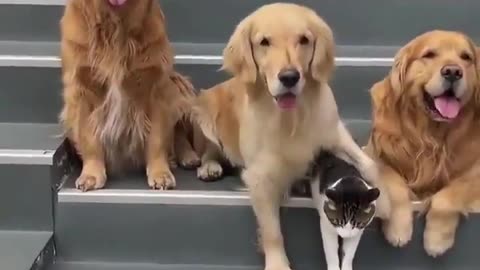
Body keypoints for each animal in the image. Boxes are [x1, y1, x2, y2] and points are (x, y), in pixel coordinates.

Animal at [60, 0, 199, 191]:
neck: (115, 24)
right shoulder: (81, 89)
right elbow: (89, 137)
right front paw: (91, 175)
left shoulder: (156, 87)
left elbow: (157, 138)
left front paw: (160, 174)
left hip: (178, 84)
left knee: (179, 132)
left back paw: (188, 157)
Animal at [191, 3, 390, 270]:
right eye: (264, 42)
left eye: (304, 40)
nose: (289, 77)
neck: (291, 119)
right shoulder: (259, 177)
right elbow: (272, 230)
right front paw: (278, 263)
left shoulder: (333, 133)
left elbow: (370, 165)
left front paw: (387, 207)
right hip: (207, 110)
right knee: (211, 148)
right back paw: (209, 167)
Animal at [364, 30, 480, 258]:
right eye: (429, 55)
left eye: (466, 57)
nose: (453, 72)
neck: (431, 136)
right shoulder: (373, 155)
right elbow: (393, 182)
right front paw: (398, 229)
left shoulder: (475, 173)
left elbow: (448, 195)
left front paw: (436, 239)